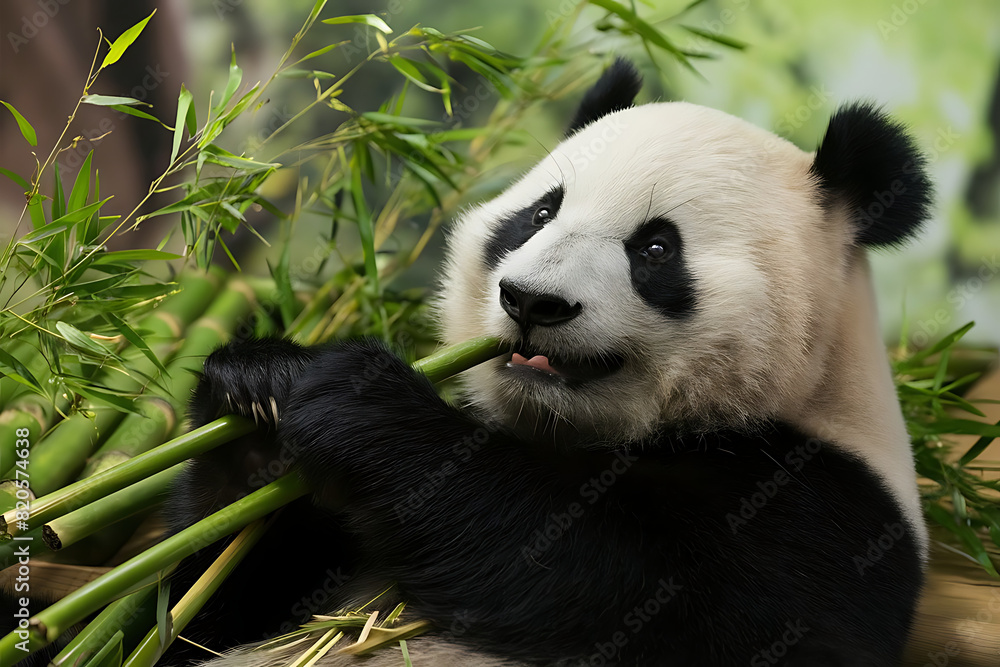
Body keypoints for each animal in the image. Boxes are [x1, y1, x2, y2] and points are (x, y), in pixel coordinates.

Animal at [165, 59, 931, 666]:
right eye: (539, 214)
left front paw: (361, 401)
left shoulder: (820, 519)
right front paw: (259, 390)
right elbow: (200, 619)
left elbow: (604, 574)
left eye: (656, 248)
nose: (532, 300)